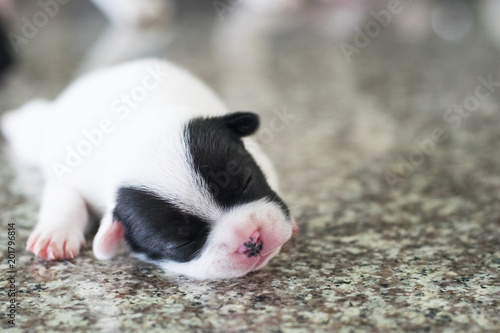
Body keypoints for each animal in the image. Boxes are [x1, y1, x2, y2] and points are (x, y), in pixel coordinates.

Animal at [0, 59, 296, 278]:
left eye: (246, 179)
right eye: (180, 244)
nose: (251, 239)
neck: (135, 127)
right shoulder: (69, 172)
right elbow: (64, 198)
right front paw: (55, 234)